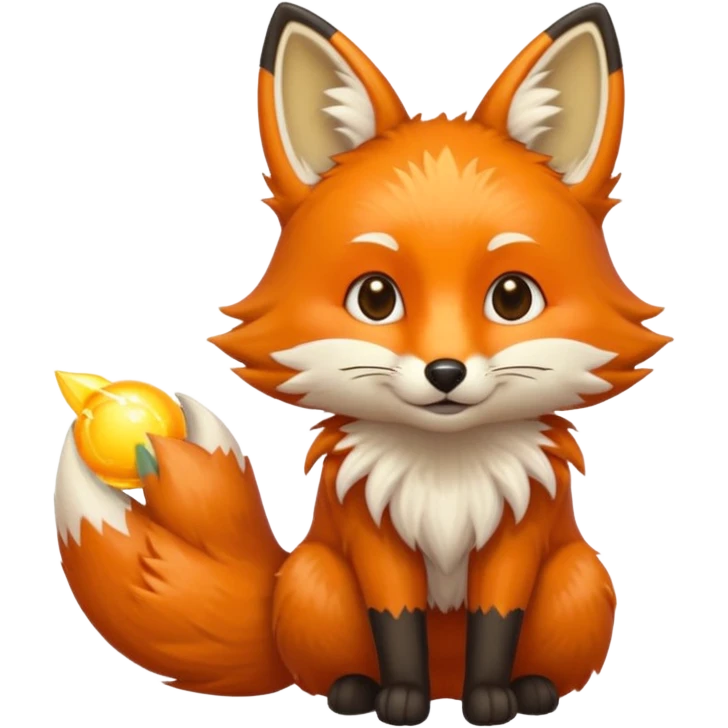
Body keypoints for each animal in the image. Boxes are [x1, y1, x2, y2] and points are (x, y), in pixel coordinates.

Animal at [53, 2, 670, 726]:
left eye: (513, 297)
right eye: (375, 297)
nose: (445, 373)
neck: (445, 475)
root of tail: (445, 679)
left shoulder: (517, 536)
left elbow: (498, 620)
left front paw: (493, 697)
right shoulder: (373, 537)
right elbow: (394, 621)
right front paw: (398, 698)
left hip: (583, 579)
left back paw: (527, 688)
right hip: (311, 578)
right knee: (328, 663)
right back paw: (357, 690)